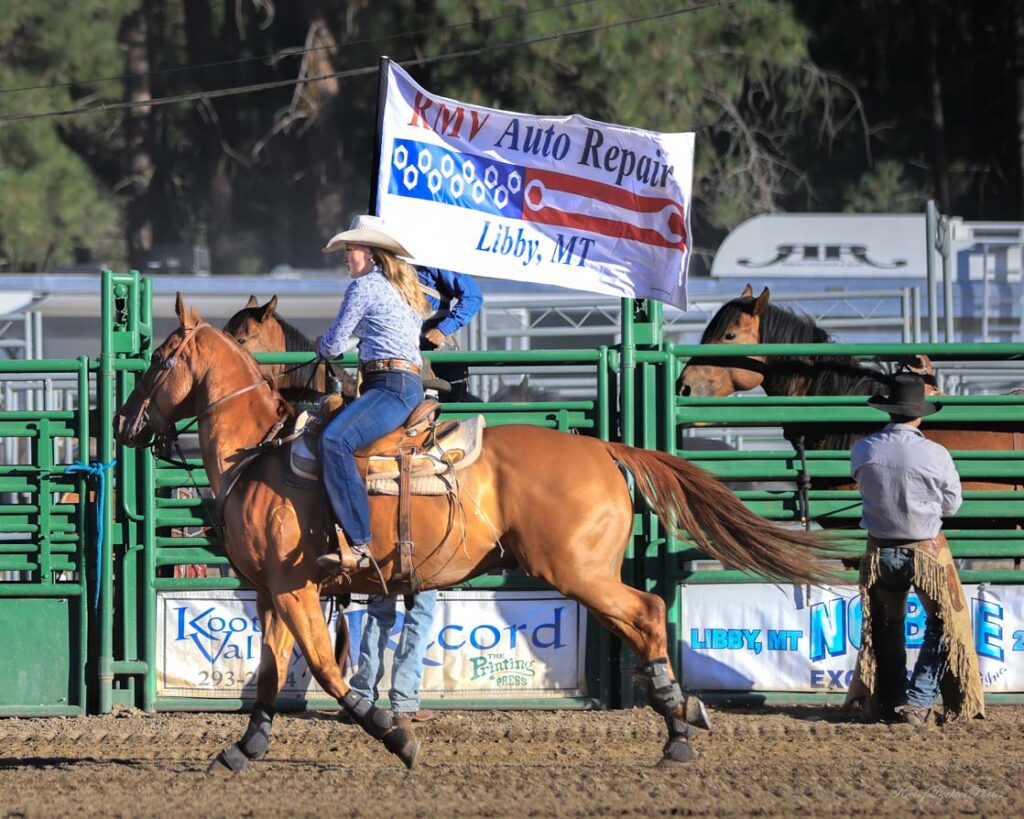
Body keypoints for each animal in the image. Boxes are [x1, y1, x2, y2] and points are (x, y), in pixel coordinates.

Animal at [113, 294, 837, 772]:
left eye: (159, 360)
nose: (123, 423)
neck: (261, 454)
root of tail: (606, 449)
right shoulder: (273, 591)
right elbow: (270, 672)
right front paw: (243, 748)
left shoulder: (294, 587)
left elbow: (323, 668)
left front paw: (395, 735)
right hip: (585, 573)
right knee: (646, 618)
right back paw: (680, 723)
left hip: (577, 571)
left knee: (650, 612)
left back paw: (678, 730)